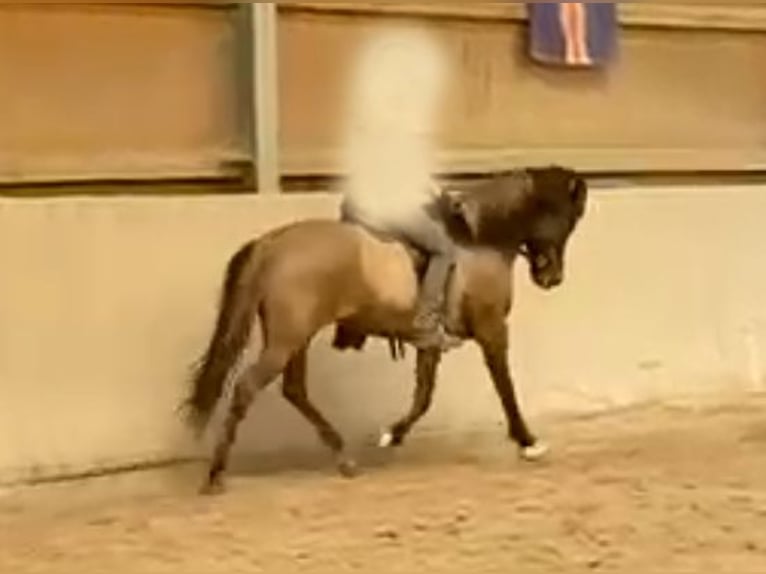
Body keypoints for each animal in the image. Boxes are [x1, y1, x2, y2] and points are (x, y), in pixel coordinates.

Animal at [184, 165, 588, 494]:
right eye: (564, 217)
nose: (552, 276)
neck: (478, 241)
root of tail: (273, 244)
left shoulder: (430, 343)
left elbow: (423, 396)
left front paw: (393, 434)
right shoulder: (492, 330)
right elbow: (505, 388)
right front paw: (528, 441)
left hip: (295, 338)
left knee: (294, 390)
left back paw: (344, 458)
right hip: (287, 339)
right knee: (247, 388)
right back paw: (216, 475)